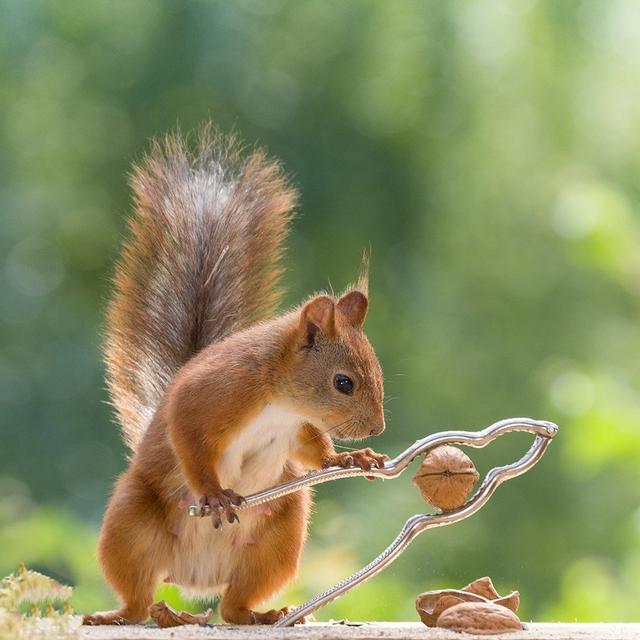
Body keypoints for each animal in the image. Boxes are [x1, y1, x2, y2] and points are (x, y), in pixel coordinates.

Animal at [82, 126, 388, 624]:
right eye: (344, 382)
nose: (377, 429)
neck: (279, 400)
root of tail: (195, 577)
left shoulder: (297, 427)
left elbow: (312, 451)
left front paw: (349, 459)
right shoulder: (209, 395)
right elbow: (189, 438)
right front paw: (214, 493)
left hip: (281, 535)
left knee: (232, 606)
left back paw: (258, 615)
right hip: (130, 523)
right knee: (138, 596)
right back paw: (117, 614)